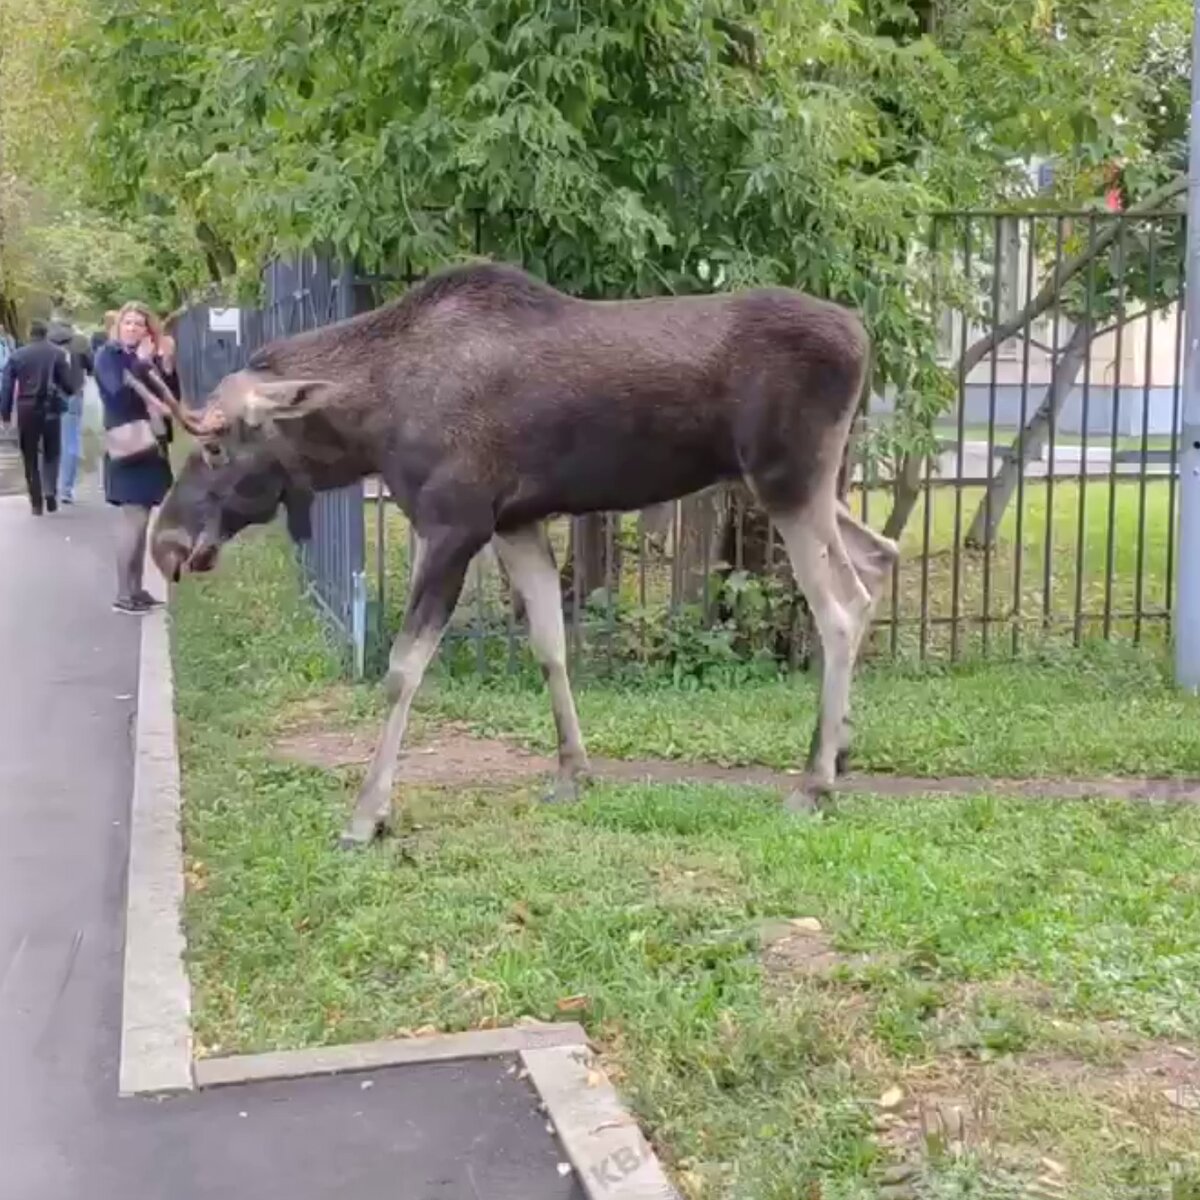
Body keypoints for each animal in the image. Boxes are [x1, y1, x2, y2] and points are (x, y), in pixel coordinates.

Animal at [150, 261, 897, 844]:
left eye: (216, 445)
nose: (165, 542)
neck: (372, 424)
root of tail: (863, 337)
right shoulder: (517, 522)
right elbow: (549, 644)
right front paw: (572, 771)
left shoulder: (454, 525)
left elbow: (402, 669)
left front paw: (368, 814)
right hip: (797, 485)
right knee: (881, 554)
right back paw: (844, 747)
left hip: (787, 480)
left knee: (840, 607)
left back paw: (814, 782)